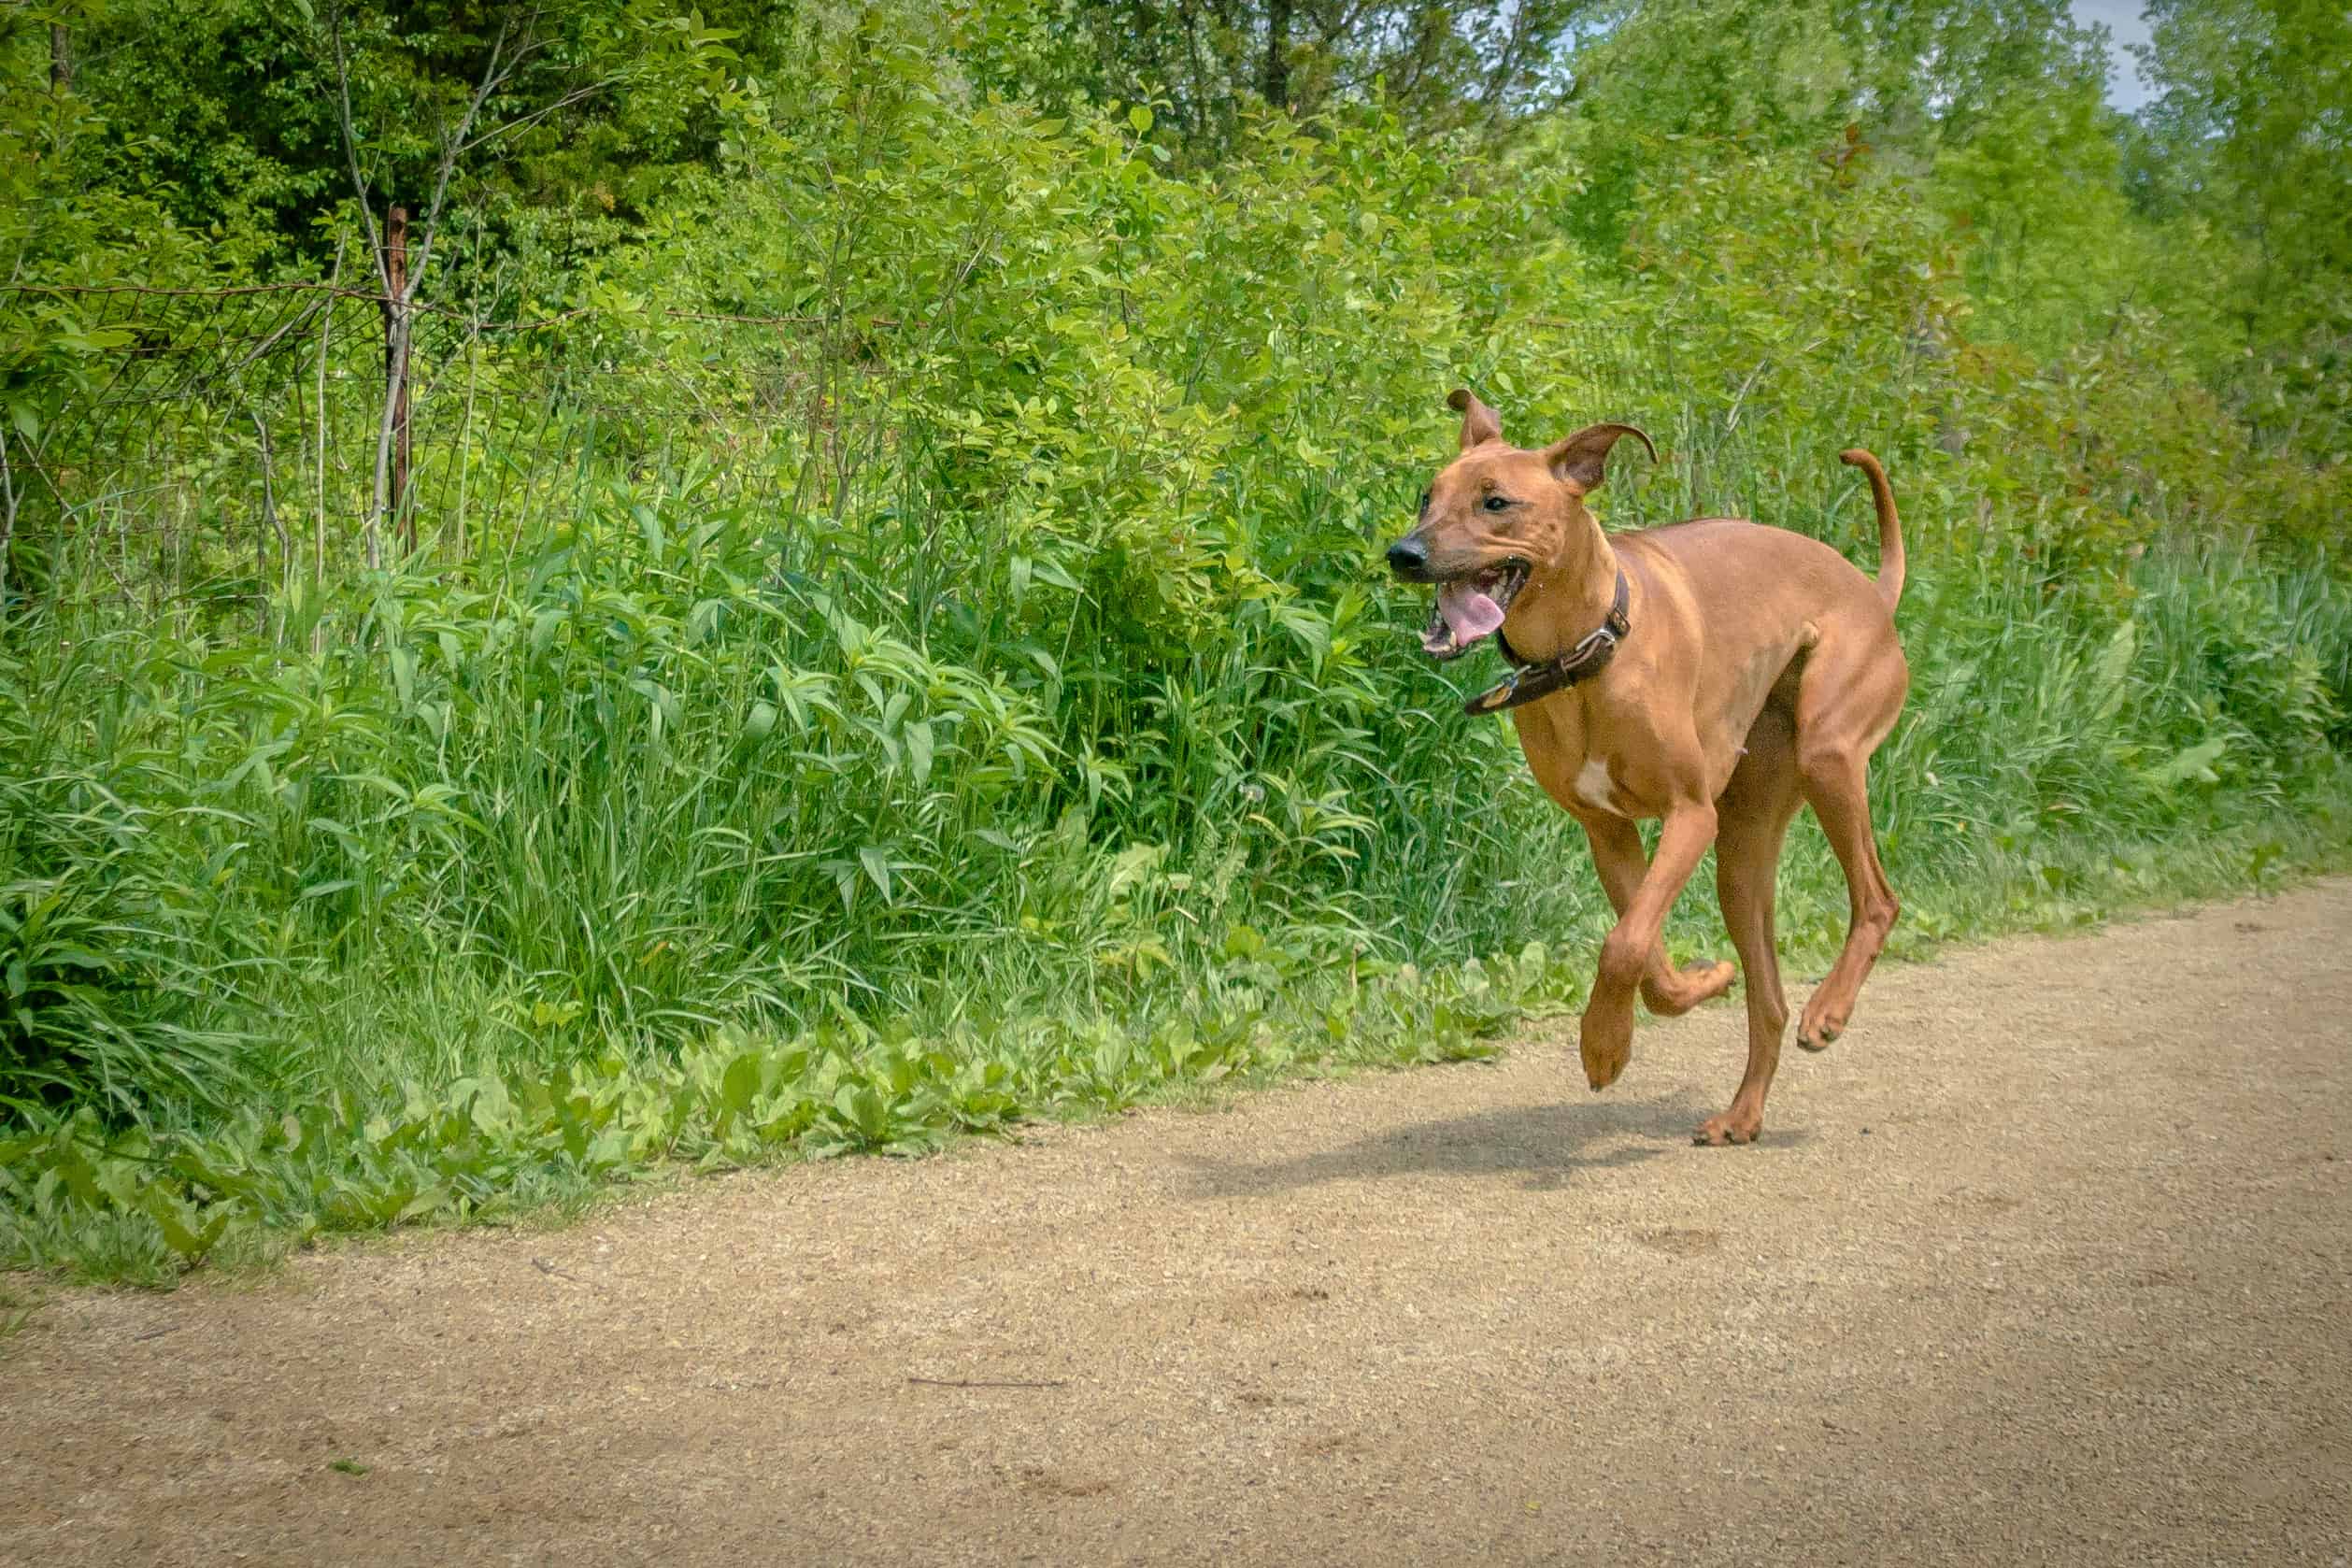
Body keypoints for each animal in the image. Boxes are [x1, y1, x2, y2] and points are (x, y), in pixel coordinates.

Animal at [1382, 392, 1900, 1147]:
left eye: (1495, 503)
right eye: (1427, 496)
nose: (1404, 553)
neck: (1584, 657)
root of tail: (1871, 591)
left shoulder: (1689, 814)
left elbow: (1623, 944)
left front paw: (1601, 1045)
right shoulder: (1608, 835)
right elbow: (1646, 954)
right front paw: (1697, 984)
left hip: (1827, 752)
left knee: (1877, 900)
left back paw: (1827, 1011)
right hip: (1741, 853)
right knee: (1768, 998)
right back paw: (1742, 1112)